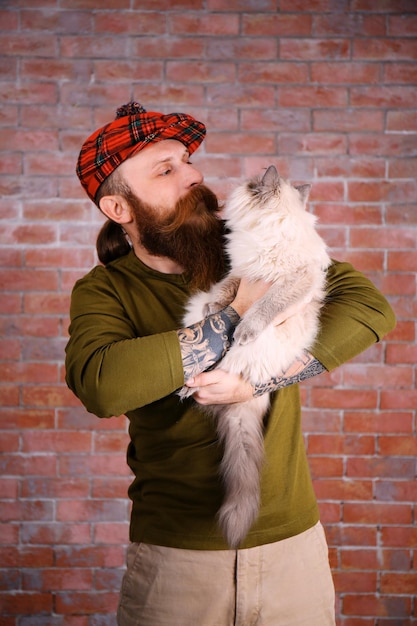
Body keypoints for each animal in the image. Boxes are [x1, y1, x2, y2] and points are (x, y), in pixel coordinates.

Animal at [180, 165, 330, 544]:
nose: (239, 184)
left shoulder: (289, 284)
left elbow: (262, 308)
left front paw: (244, 328)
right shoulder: (240, 273)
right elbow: (227, 292)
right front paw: (217, 309)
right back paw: (187, 385)